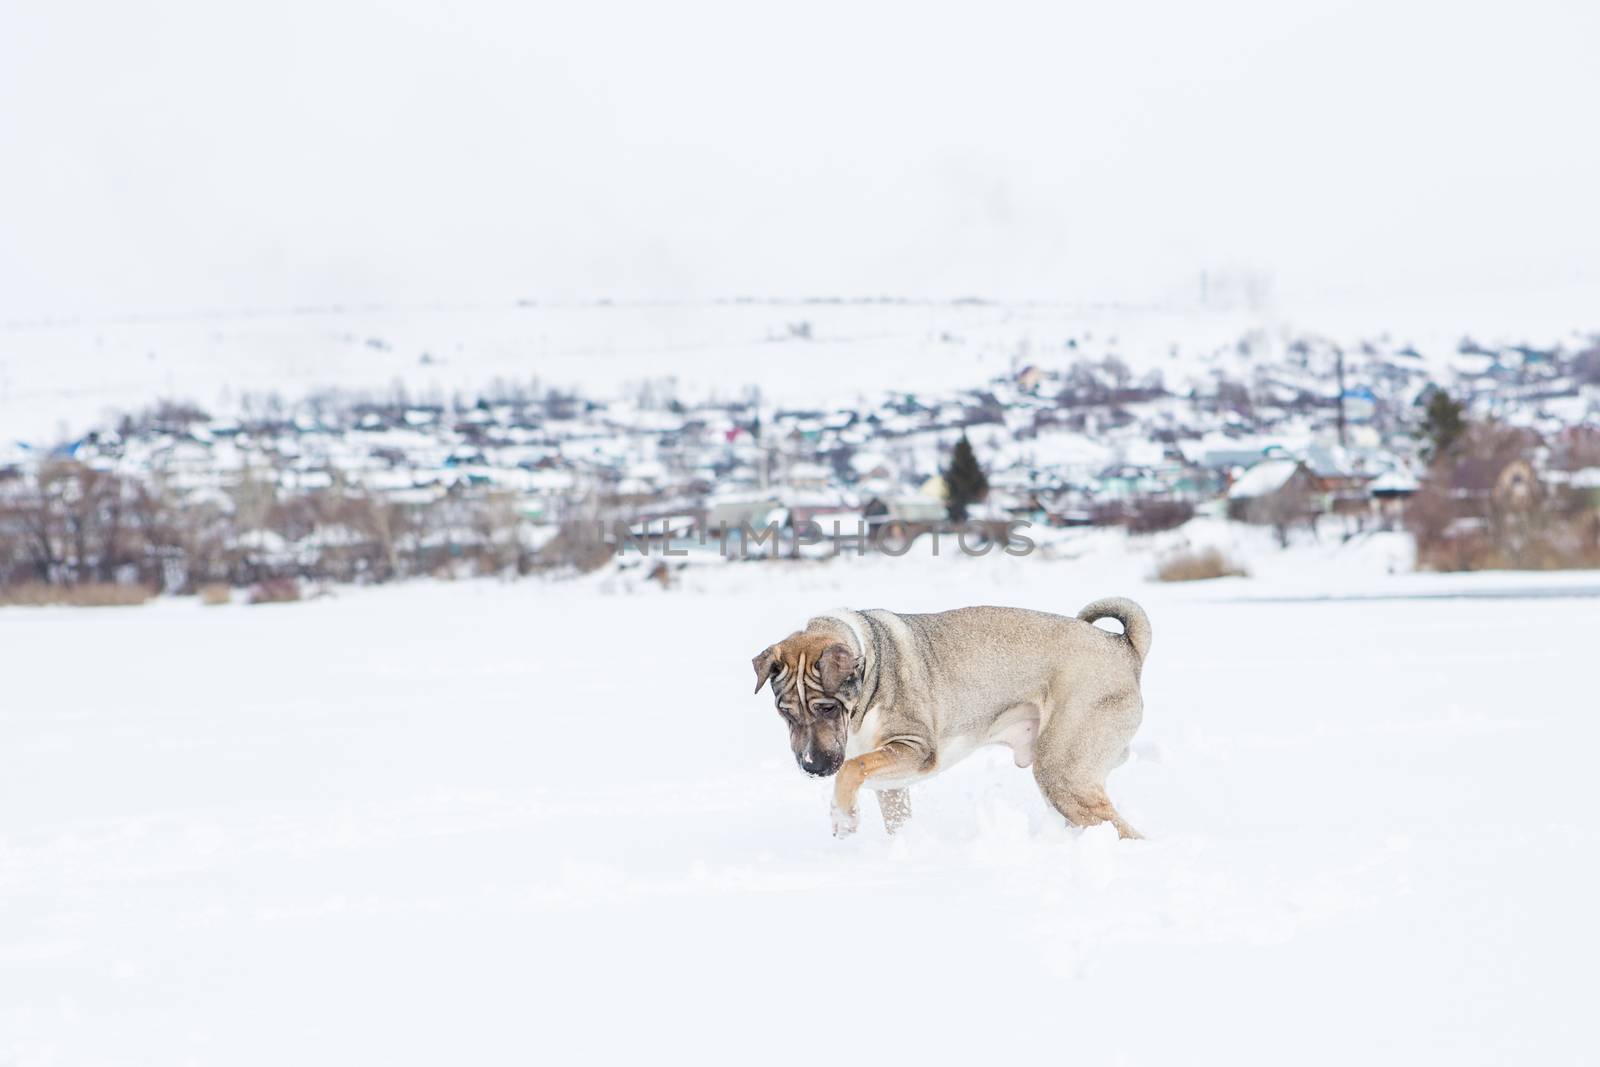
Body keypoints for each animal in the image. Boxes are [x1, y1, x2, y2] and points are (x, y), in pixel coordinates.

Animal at [748, 601, 1152, 844]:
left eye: (828, 708)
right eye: (785, 712)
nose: (812, 767)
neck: (870, 669)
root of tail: (1123, 646)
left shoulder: (915, 748)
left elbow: (851, 768)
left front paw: (843, 819)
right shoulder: (893, 782)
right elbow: (892, 811)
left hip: (1063, 771)